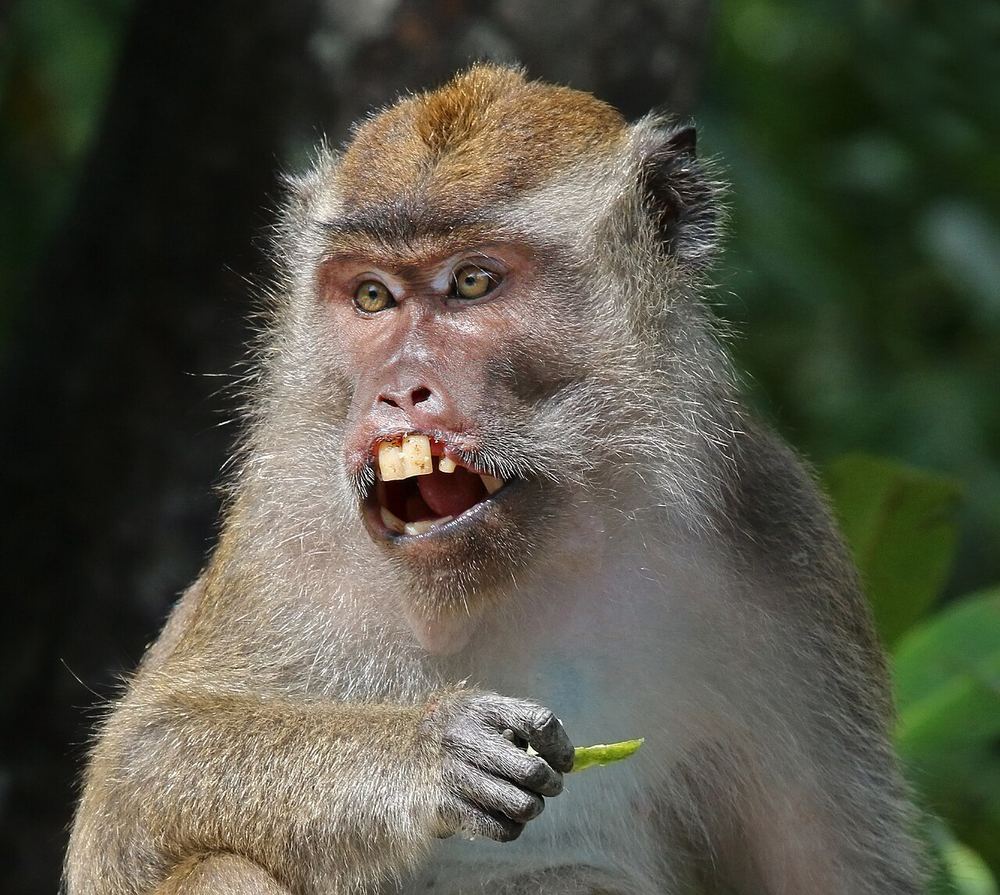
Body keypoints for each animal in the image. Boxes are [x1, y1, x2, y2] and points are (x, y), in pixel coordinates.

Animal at [65, 65, 923, 895]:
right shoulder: (286, 521)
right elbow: (135, 774)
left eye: (473, 282)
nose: (398, 390)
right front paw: (431, 750)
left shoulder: (779, 540)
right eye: (372, 295)